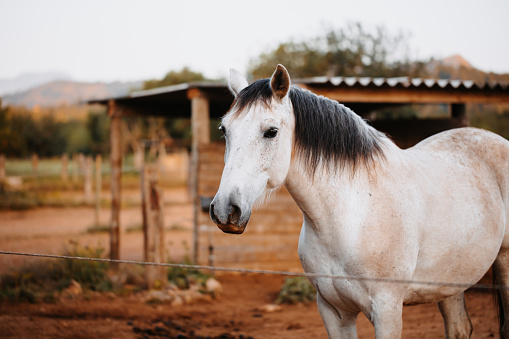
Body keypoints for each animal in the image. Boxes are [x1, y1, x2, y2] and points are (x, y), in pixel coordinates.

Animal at [208, 64, 508, 339]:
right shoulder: (333, 312)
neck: (350, 217)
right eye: (224, 130)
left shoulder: (387, 311)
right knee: (459, 328)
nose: (225, 209)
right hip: (450, 281)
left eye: (271, 131)